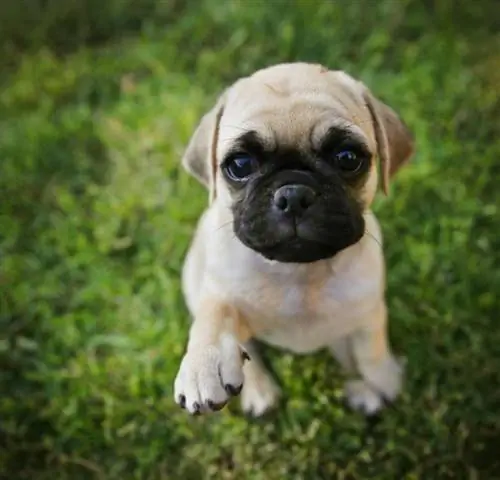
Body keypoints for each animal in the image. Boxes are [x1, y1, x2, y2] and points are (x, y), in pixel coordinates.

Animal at [173, 62, 414, 416]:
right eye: (240, 164)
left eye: (347, 157)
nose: (294, 194)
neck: (299, 272)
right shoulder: (220, 294)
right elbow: (214, 316)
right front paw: (203, 364)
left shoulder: (368, 314)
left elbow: (371, 352)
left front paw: (381, 381)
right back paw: (259, 391)